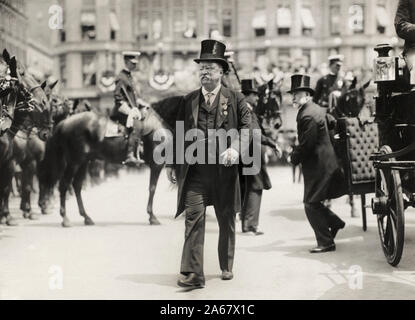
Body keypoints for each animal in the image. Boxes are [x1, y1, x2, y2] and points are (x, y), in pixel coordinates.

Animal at [39, 95, 182, 228]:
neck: (158, 128)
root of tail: (64, 123)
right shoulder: (156, 166)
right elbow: (152, 188)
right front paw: (152, 217)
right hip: (74, 162)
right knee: (64, 185)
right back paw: (65, 219)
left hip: (83, 162)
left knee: (77, 186)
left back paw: (86, 218)